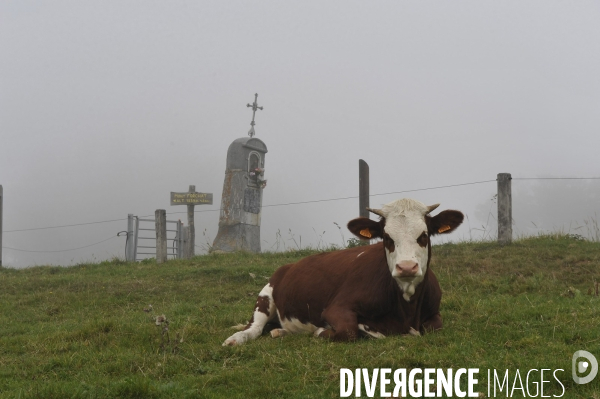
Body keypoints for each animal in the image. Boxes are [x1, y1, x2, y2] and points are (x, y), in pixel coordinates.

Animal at [223, 198, 462, 346]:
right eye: (386, 237)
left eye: (424, 235)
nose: (406, 267)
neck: (406, 310)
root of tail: (288, 266)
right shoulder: (335, 308)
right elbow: (348, 330)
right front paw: (321, 331)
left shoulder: (434, 314)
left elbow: (434, 327)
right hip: (266, 293)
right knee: (254, 327)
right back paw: (236, 338)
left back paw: (280, 331)